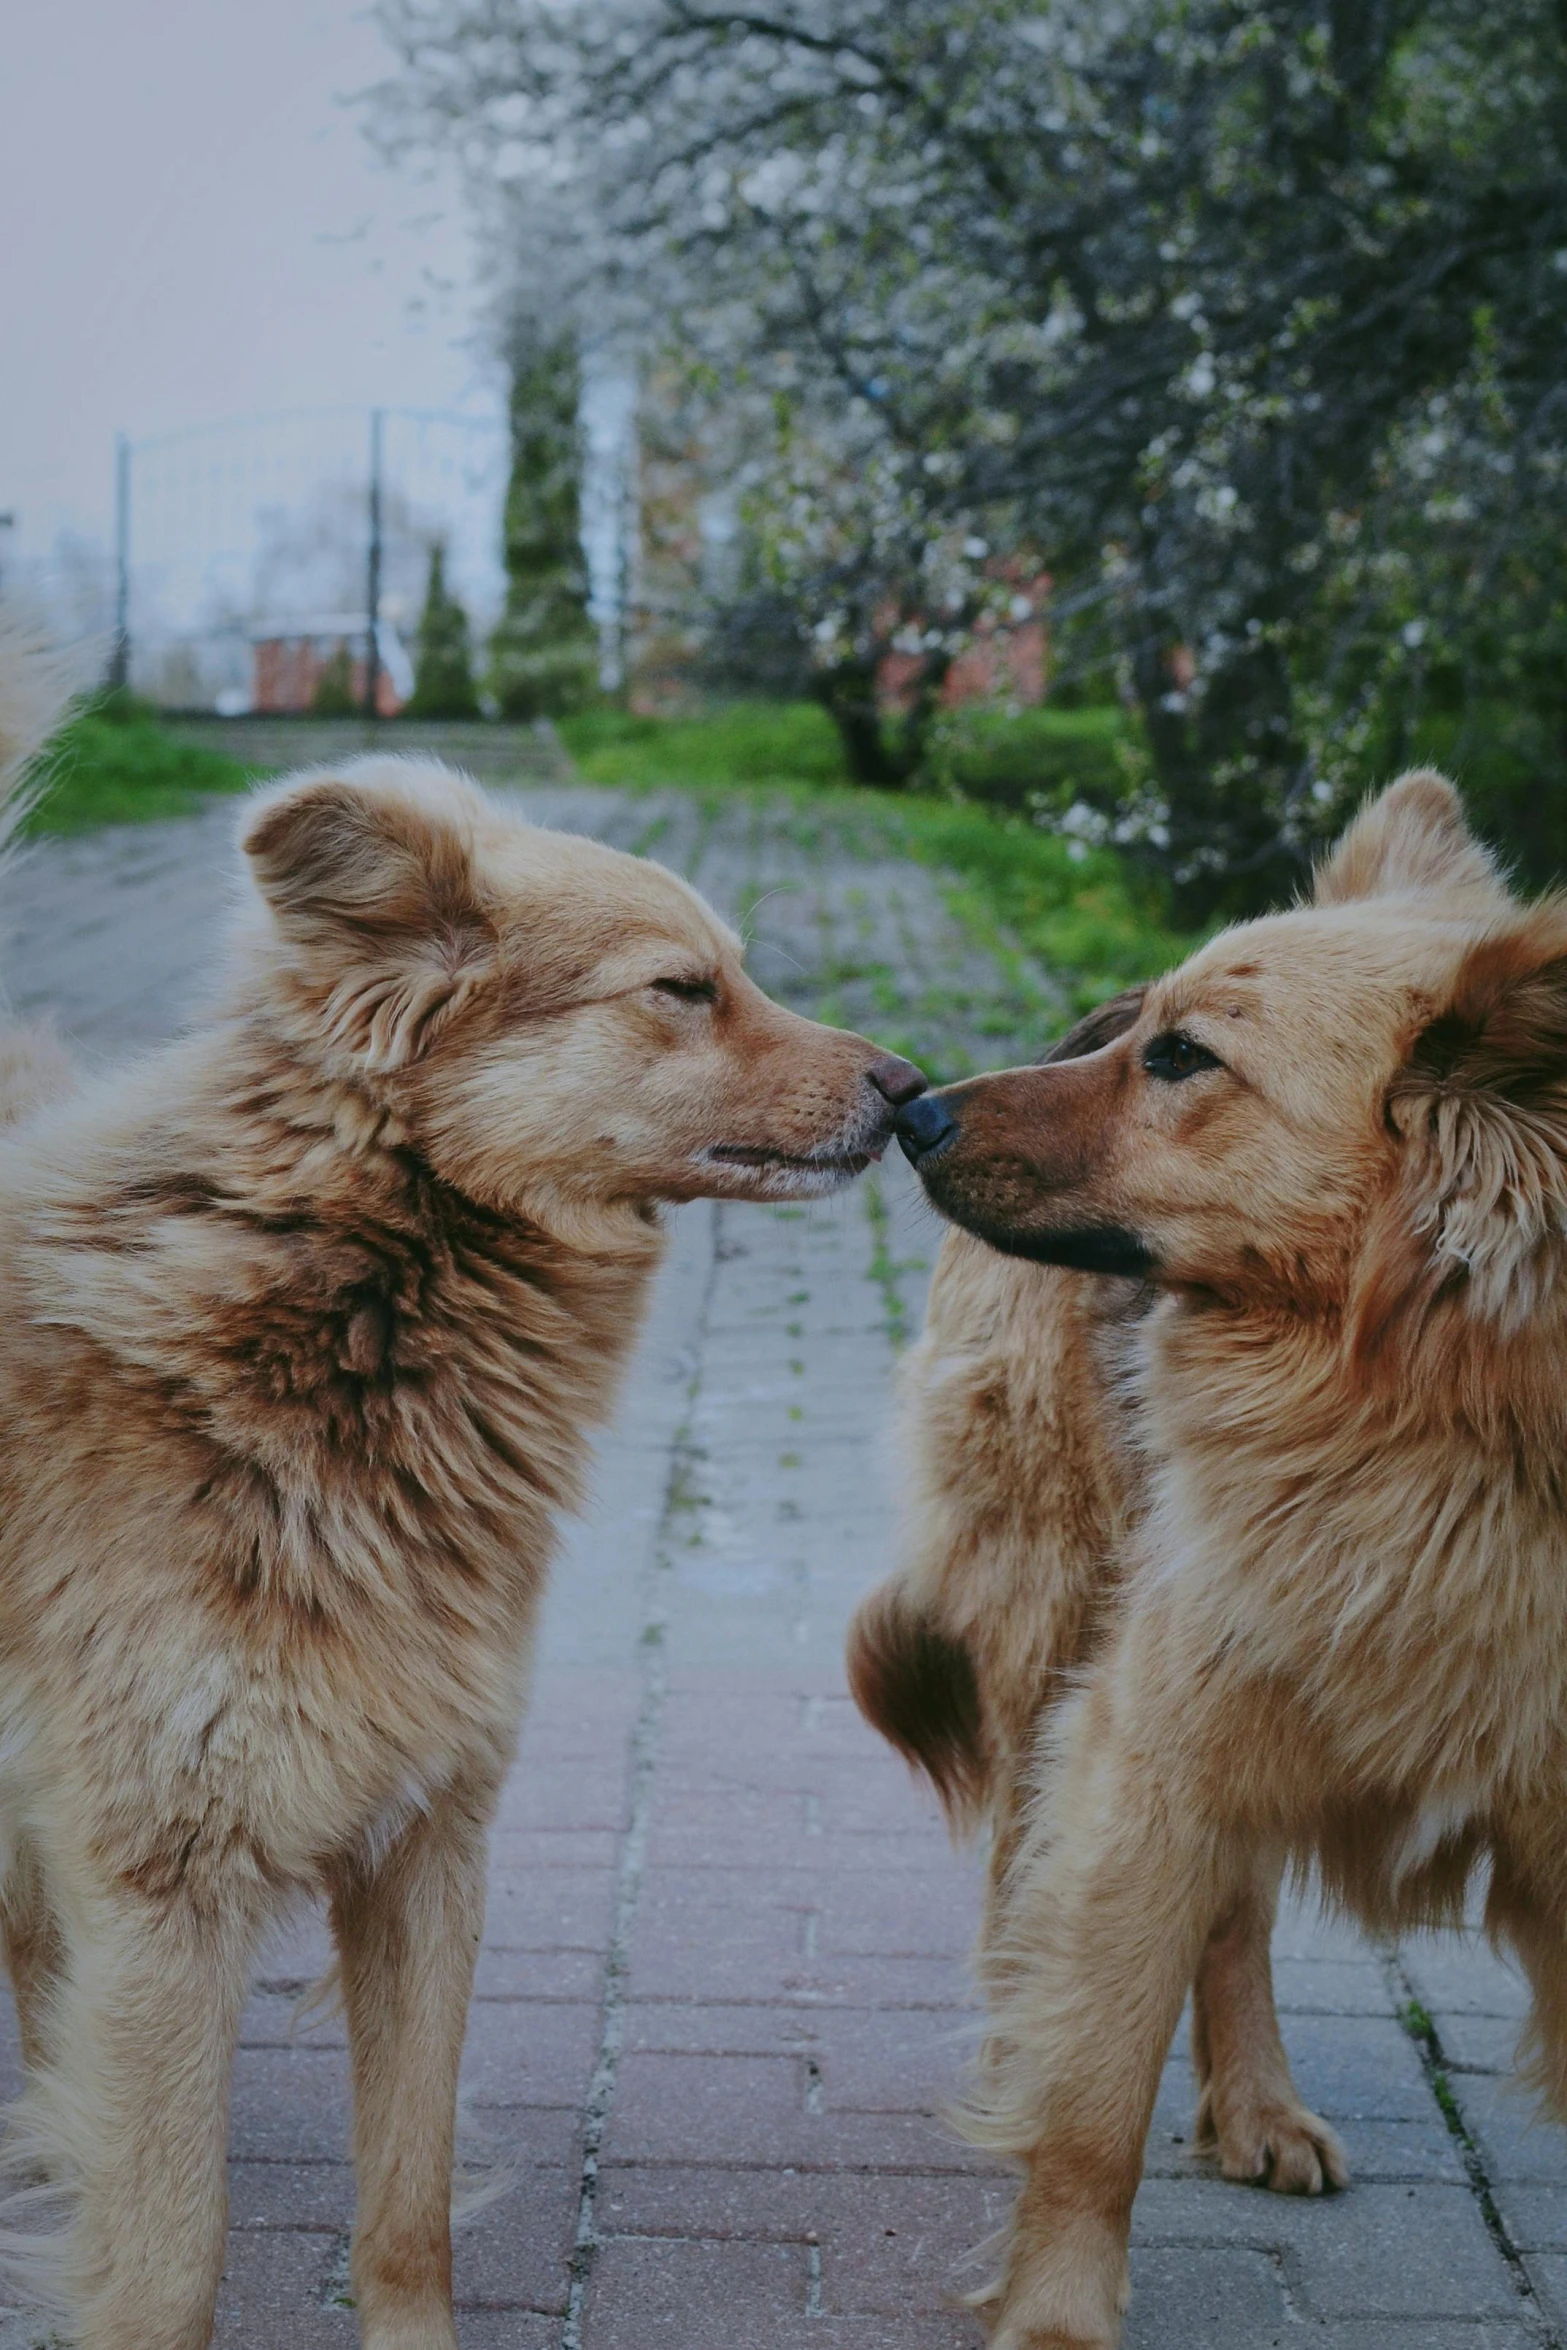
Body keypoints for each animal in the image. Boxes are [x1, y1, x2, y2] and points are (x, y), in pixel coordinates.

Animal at [0, 629, 920, 2350]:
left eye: (733, 970)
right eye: (679, 988)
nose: (909, 1091)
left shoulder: (427, 1837)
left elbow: (407, 2203)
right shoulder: (161, 1891)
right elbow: (163, 2264)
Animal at [883, 775, 1567, 2350]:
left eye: (1184, 1059)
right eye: (1150, 1033)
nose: (912, 1107)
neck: (1441, 1421)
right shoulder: (1143, 1742)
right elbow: (1089, 2104)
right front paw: (1054, 2316)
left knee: (1233, 1907)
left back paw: (1253, 2101)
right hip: (1084, 1630)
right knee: (1044, 1875)